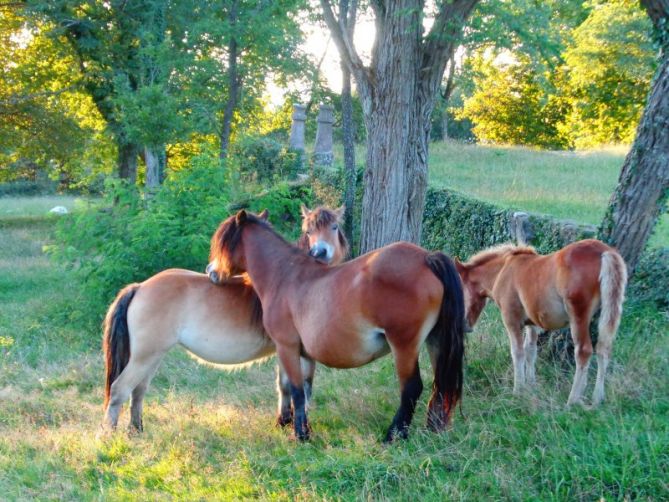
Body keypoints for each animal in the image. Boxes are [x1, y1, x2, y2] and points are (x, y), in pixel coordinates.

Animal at [103, 205, 350, 432]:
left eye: (334, 227)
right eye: (308, 231)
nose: (320, 253)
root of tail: (140, 287)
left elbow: (285, 385)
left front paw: (284, 421)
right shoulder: (290, 349)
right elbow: (296, 387)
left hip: (151, 357)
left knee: (138, 391)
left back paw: (136, 430)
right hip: (144, 357)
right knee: (119, 390)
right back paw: (109, 436)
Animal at [207, 210, 464, 442]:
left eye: (221, 243)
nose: (211, 272)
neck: (284, 275)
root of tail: (426, 258)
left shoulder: (286, 347)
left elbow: (295, 389)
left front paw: (300, 435)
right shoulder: (303, 354)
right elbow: (301, 390)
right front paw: (294, 425)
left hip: (404, 346)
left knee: (412, 388)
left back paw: (393, 435)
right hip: (436, 342)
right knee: (439, 386)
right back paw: (433, 429)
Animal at [454, 239, 628, 408]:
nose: (464, 326)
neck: (503, 270)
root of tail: (605, 252)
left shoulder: (511, 319)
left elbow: (518, 352)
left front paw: (518, 390)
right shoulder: (532, 323)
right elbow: (530, 351)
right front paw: (531, 385)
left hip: (579, 317)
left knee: (584, 351)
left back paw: (572, 400)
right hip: (607, 314)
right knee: (603, 349)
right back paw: (597, 399)